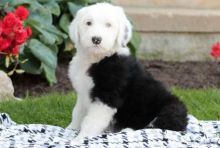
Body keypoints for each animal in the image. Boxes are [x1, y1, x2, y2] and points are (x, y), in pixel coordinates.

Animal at [67, 2, 187, 139]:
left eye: (108, 25)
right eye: (88, 23)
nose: (96, 39)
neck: (97, 58)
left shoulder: (107, 96)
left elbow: (92, 120)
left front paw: (82, 137)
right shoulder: (82, 92)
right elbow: (78, 112)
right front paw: (71, 128)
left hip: (172, 108)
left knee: (155, 126)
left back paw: (127, 130)